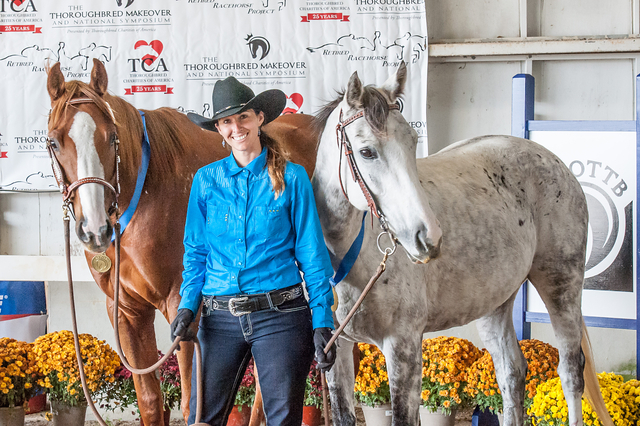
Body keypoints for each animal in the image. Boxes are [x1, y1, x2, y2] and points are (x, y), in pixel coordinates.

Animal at [45, 59, 318, 426]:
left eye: (112, 136)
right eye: (54, 142)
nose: (96, 229)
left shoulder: (184, 310)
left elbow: (192, 404)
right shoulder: (126, 311)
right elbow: (149, 401)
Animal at [312, 62, 612, 426]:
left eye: (412, 142)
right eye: (367, 151)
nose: (427, 237)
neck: (351, 259)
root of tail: (553, 161)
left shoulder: (403, 347)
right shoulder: (336, 349)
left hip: (561, 285)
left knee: (570, 373)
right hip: (495, 302)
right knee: (511, 373)